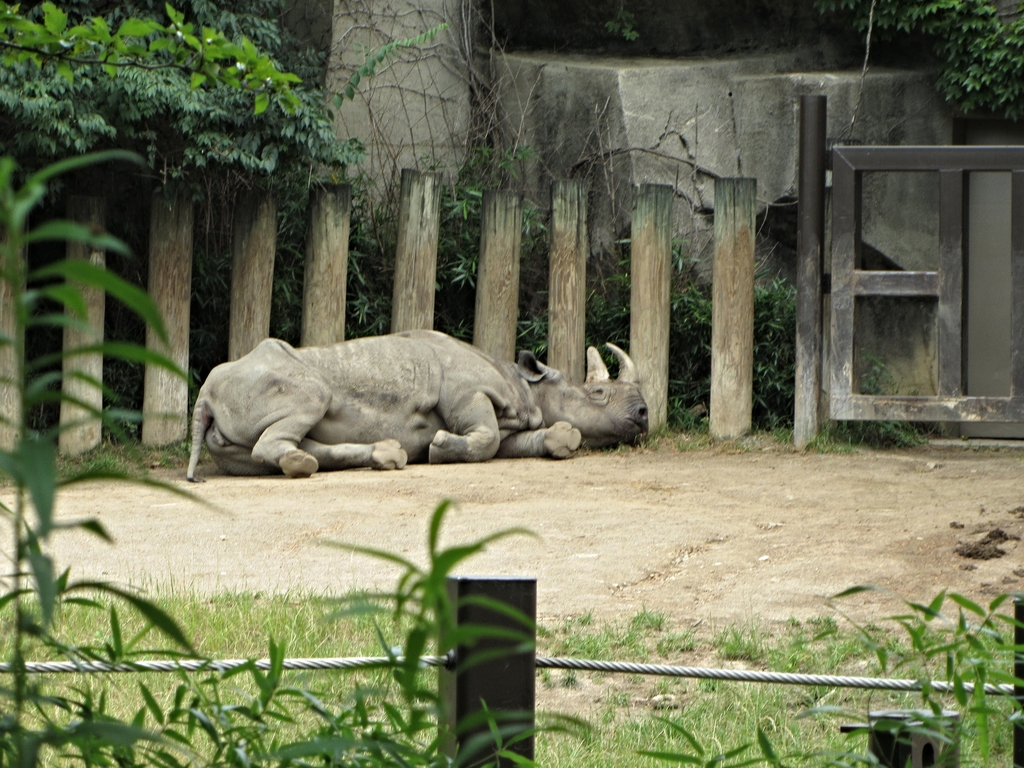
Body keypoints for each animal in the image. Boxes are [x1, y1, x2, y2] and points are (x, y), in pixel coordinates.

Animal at [186, 330, 648, 481]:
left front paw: (561, 438)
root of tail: (205, 392)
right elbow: (484, 438)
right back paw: (305, 466)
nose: (644, 414)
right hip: (273, 380)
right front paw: (440, 447)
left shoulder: (514, 427)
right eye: (598, 394)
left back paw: (381, 457)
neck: (527, 388)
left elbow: (523, 442)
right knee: (312, 399)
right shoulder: (465, 392)